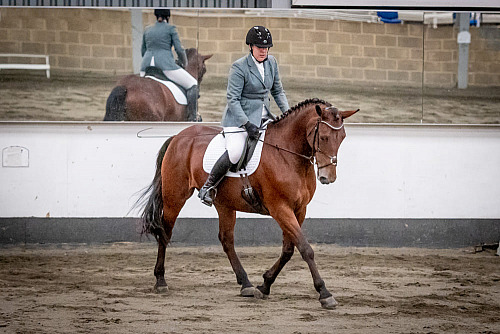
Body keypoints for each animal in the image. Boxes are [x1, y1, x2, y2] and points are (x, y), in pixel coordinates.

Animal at [141, 98, 358, 310]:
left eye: (342, 137)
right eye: (324, 137)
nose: (328, 177)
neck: (289, 155)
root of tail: (178, 136)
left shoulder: (299, 210)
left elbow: (288, 250)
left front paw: (265, 285)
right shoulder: (280, 208)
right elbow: (305, 249)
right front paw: (324, 293)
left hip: (224, 204)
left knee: (226, 240)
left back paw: (246, 284)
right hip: (174, 197)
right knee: (165, 233)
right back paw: (160, 280)